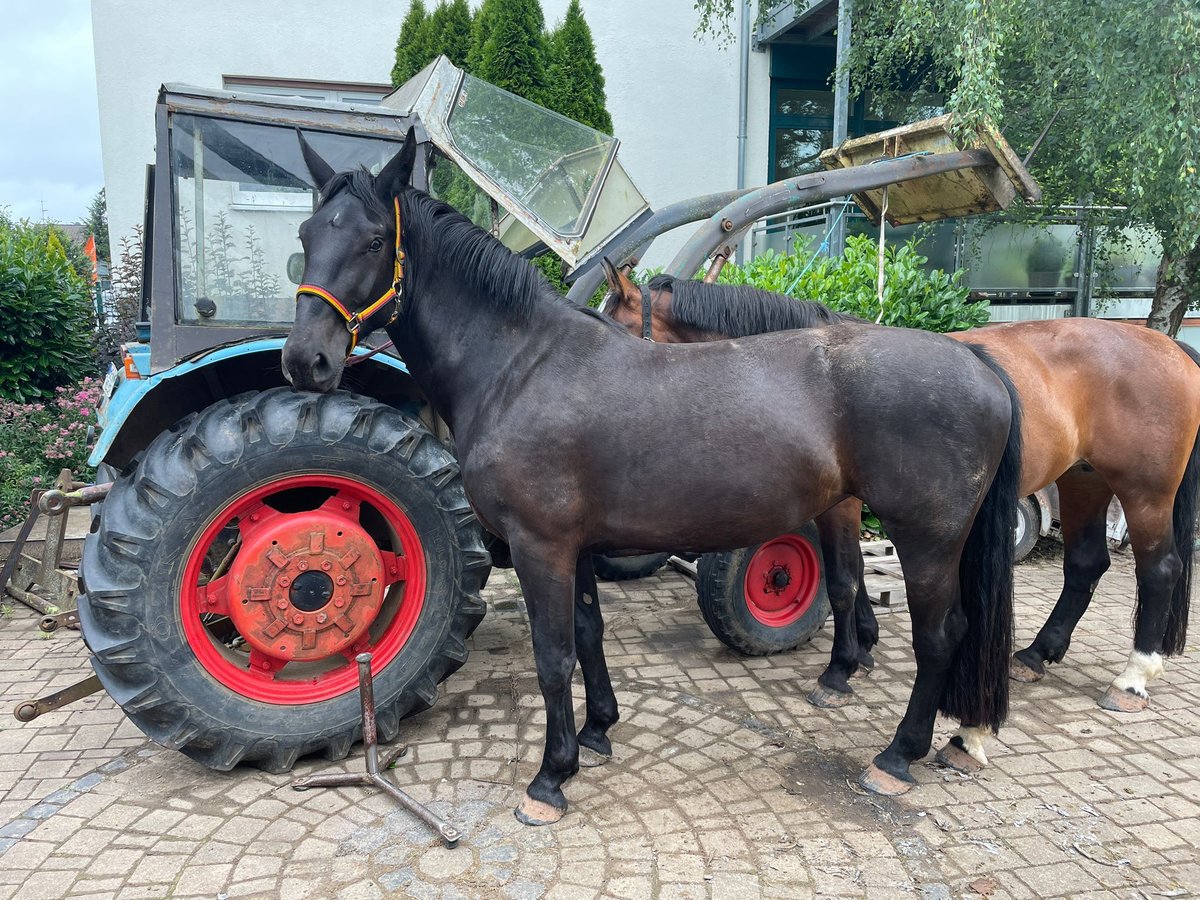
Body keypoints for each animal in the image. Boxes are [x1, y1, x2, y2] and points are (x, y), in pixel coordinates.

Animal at [283, 130, 1022, 830]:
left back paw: (897, 756)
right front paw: (596, 732)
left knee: (941, 635)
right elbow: (587, 635)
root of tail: (976, 360)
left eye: (373, 239)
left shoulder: (540, 547)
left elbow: (553, 657)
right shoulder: (574, 549)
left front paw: (550, 779)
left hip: (927, 539)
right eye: (307, 237)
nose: (304, 359)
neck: (520, 367)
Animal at [604, 267, 1200, 777]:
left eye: (617, 326)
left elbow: (843, 581)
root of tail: (1170, 346)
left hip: (1143, 492)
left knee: (1159, 569)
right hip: (1084, 481)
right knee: (1085, 565)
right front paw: (861, 650)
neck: (804, 371)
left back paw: (1132, 676)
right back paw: (1035, 654)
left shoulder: (838, 505)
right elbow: (852, 579)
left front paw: (840, 667)